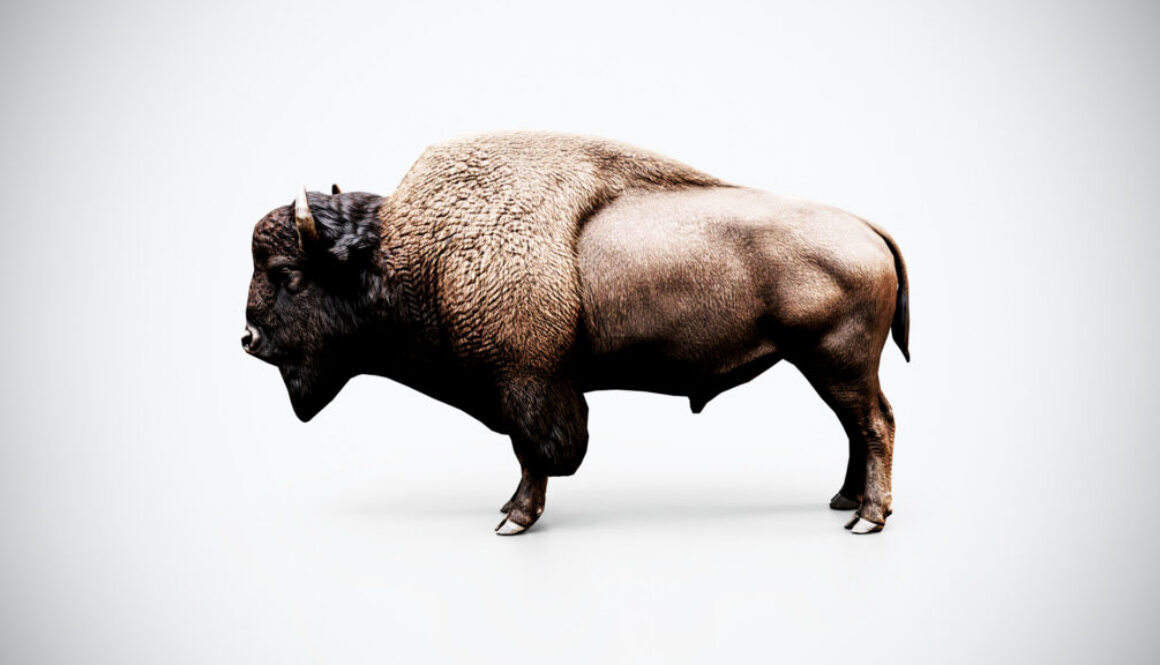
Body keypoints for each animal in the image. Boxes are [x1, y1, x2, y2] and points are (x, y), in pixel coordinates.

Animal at [243, 132, 909, 535]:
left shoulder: (527, 383)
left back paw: (868, 518)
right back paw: (845, 501)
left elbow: (537, 452)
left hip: (837, 364)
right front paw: (512, 510)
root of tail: (866, 227)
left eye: (288, 276)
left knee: (875, 425)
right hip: (832, 369)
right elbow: (535, 451)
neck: (411, 254)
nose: (247, 339)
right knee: (858, 428)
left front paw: (514, 518)